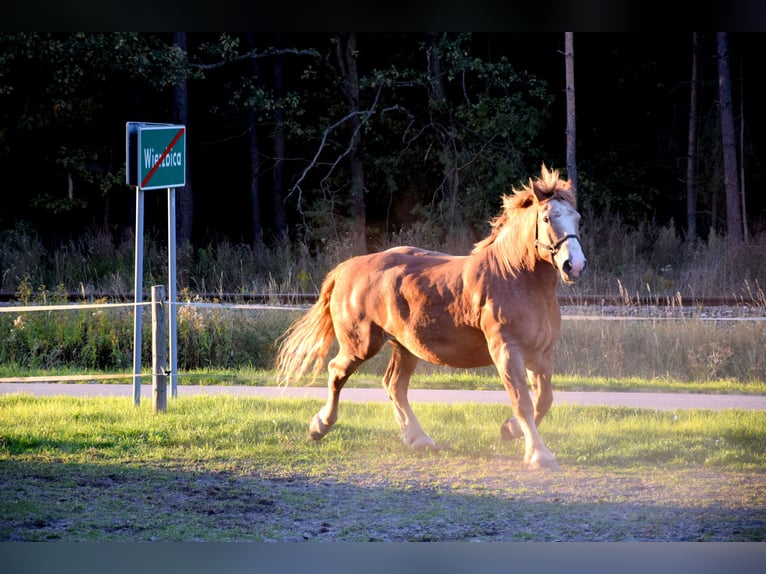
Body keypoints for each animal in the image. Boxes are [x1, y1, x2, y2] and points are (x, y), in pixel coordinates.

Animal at [274, 164, 587, 470]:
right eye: (546, 218)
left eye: (577, 218)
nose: (574, 265)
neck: (515, 278)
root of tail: (347, 268)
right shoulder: (507, 351)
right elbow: (523, 401)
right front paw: (539, 455)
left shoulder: (540, 354)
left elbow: (543, 400)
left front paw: (509, 430)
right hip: (361, 345)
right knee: (337, 372)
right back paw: (320, 426)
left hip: (404, 346)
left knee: (394, 385)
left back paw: (417, 438)